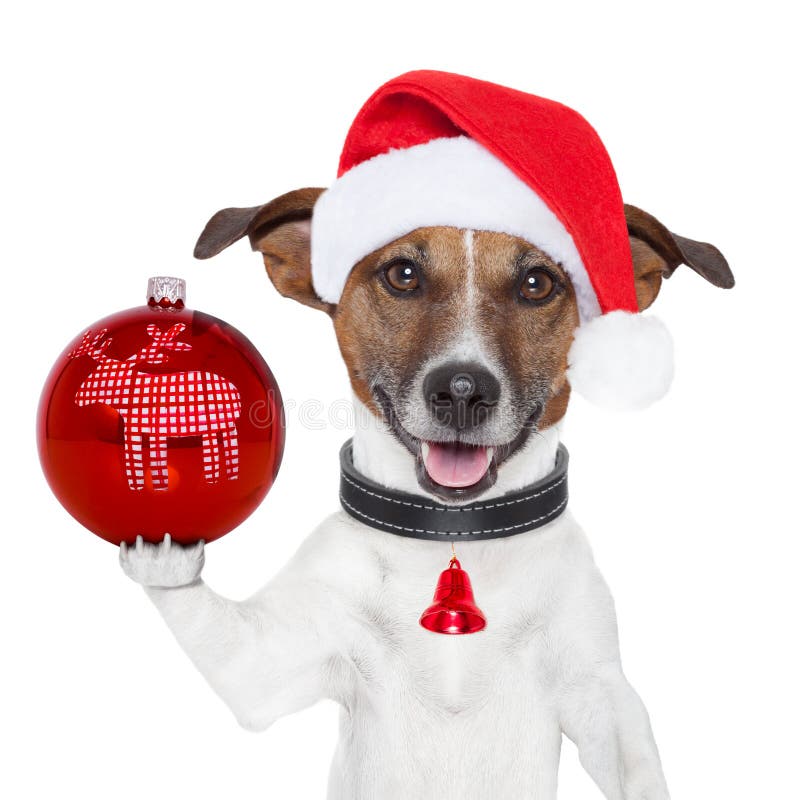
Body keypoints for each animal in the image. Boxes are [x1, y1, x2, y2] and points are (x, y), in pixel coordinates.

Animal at [117, 72, 732, 796]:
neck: (452, 537)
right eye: (402, 274)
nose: (463, 391)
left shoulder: (600, 690)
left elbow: (636, 762)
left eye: (537, 282)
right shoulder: (269, 664)